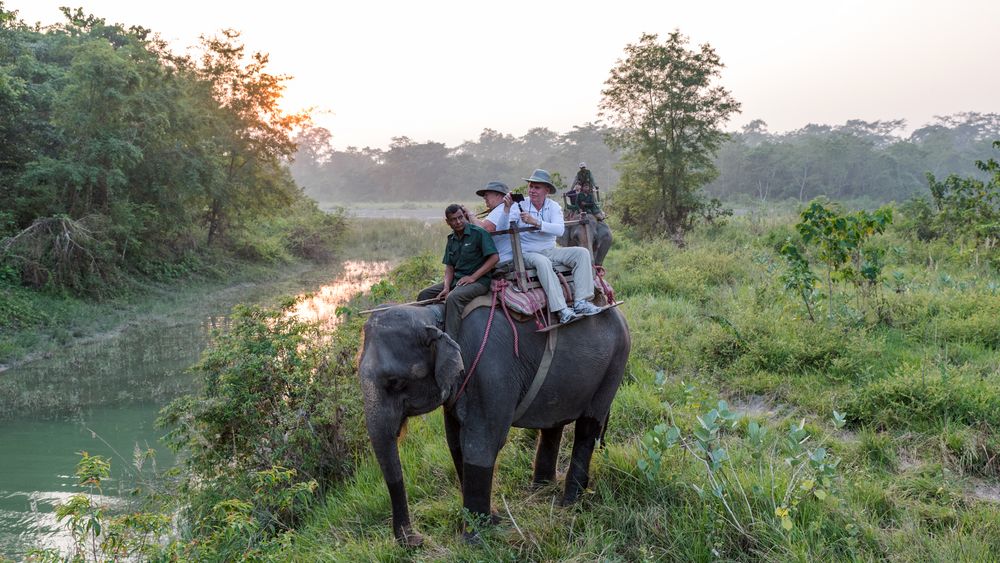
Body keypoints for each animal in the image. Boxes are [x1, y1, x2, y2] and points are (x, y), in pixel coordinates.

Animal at [356, 304, 628, 548]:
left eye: (395, 382)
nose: (417, 541)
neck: (438, 317)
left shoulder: (492, 371)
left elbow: (480, 444)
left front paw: (474, 541)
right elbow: (455, 444)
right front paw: (492, 520)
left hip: (615, 363)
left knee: (587, 428)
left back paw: (569, 503)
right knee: (553, 421)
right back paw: (540, 489)